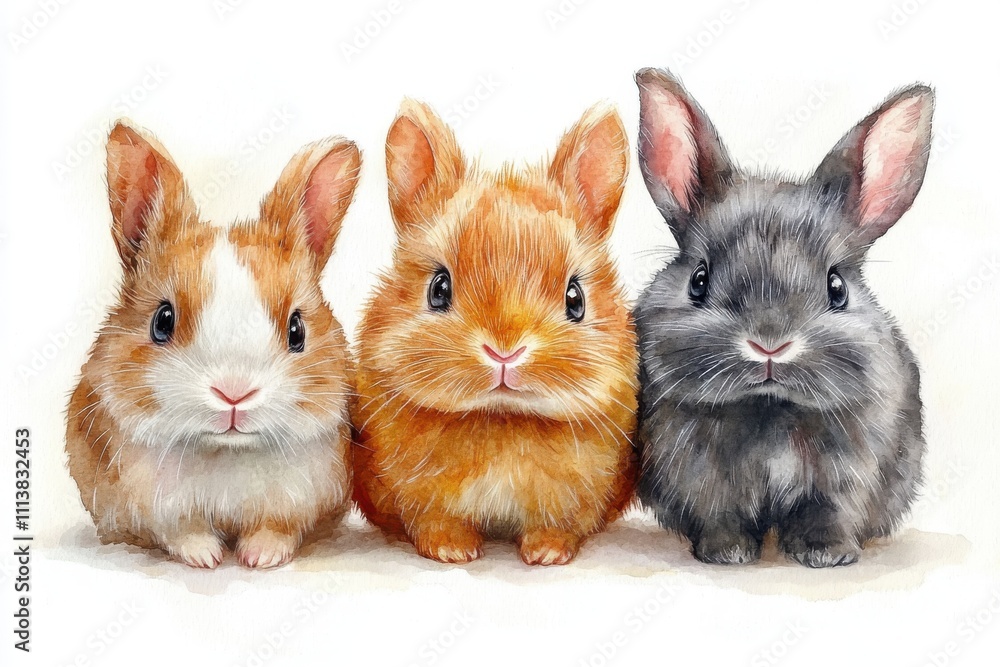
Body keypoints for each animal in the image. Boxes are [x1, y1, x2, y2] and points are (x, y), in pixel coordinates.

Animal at [65, 121, 361, 569]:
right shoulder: (155, 506)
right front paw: (206, 557)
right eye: (162, 321)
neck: (226, 450)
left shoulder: (299, 499)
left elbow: (278, 528)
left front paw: (261, 556)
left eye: (297, 331)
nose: (233, 393)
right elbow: (182, 532)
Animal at [351, 99, 638, 566]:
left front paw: (547, 554)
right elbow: (434, 521)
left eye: (575, 299)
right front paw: (452, 551)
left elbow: (559, 525)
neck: (500, 416)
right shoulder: (421, 500)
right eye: (439, 289)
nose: (505, 351)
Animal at [632, 68, 932, 568]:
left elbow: (828, 512)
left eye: (837, 288)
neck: (770, 408)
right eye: (699, 281)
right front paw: (728, 553)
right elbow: (719, 513)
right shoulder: (697, 476)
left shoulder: (845, 475)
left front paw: (827, 555)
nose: (769, 344)